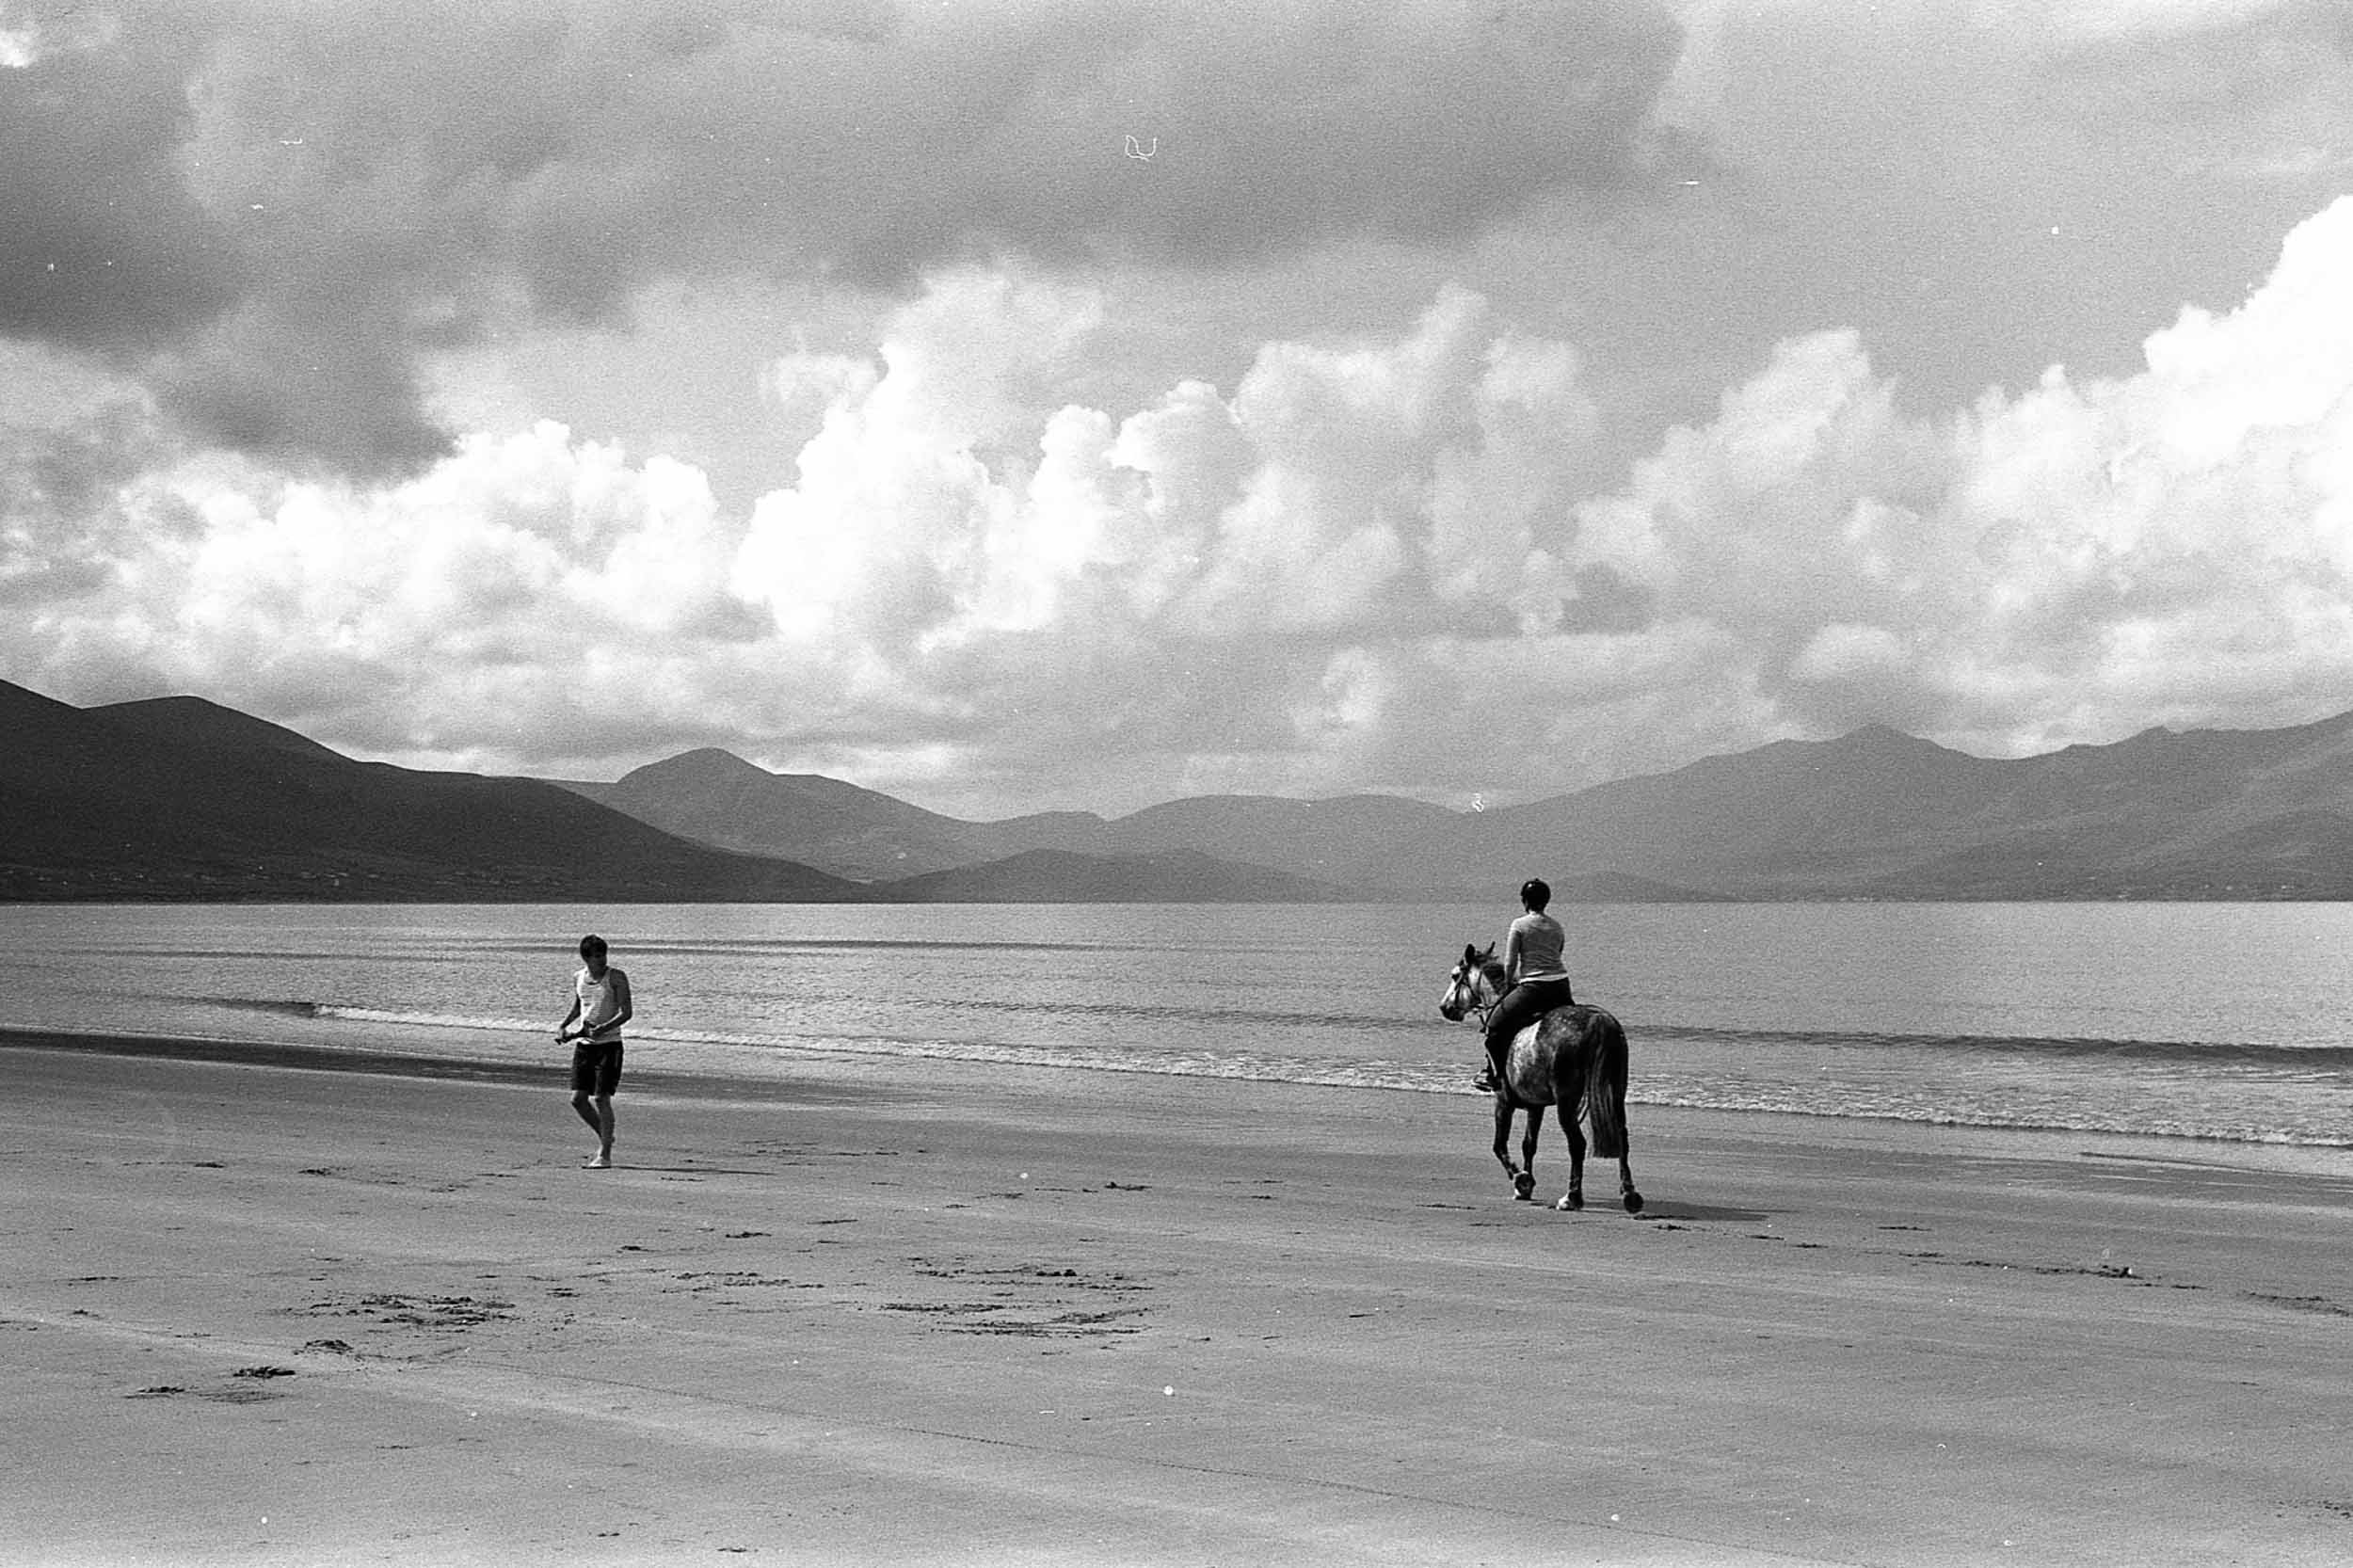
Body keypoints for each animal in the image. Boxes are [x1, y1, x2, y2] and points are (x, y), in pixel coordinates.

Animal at [1431, 941, 1638, 1205]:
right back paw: (1630, 1194)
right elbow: (1529, 1144)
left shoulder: (1503, 1101)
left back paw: (1572, 1197)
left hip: (1566, 1101)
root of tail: (1597, 1021)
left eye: (1455, 975)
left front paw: (1520, 1179)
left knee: (1577, 1144)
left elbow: (1499, 1145)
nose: (1445, 1007)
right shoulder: (1535, 1106)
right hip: (1615, 1093)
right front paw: (1526, 1185)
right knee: (1622, 1138)